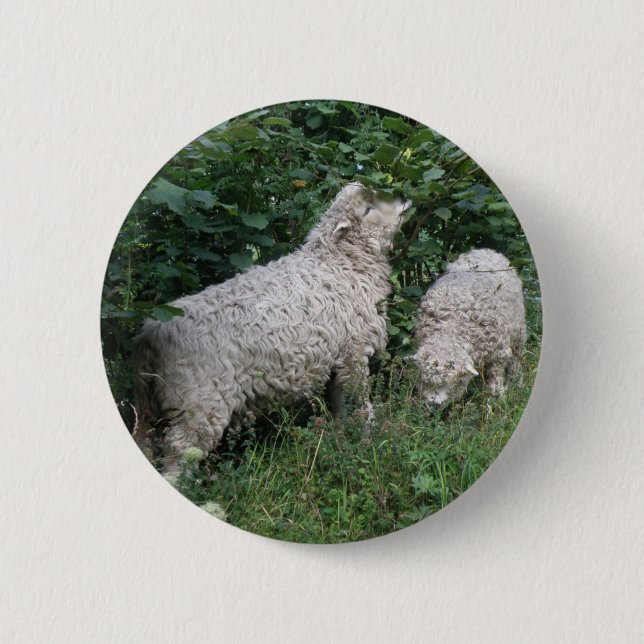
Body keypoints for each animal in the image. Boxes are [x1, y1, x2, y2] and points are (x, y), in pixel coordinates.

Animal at [132, 183, 412, 476]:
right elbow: (358, 399)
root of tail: (149, 333)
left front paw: (340, 435)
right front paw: (368, 433)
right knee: (180, 453)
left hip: (150, 406)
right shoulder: (353, 352)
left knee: (147, 442)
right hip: (198, 403)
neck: (340, 263)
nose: (404, 197)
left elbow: (338, 401)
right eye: (367, 209)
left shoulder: (338, 357)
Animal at [412, 248, 526, 408]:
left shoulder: (499, 353)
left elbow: (495, 377)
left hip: (519, 333)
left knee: (515, 359)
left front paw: (497, 398)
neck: (450, 329)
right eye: (425, 379)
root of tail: (485, 250)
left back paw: (517, 382)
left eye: (451, 381)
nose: (434, 404)